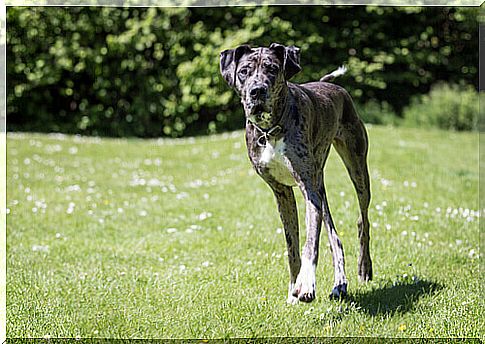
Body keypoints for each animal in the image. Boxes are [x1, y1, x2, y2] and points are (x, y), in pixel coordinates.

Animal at [219, 43, 370, 304]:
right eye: (244, 71)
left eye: (272, 69)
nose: (257, 91)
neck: (270, 130)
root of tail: (333, 86)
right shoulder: (283, 193)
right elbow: (292, 247)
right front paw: (293, 290)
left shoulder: (307, 188)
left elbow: (310, 243)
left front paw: (306, 283)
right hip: (320, 184)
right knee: (335, 236)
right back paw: (339, 284)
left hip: (357, 168)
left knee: (363, 221)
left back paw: (364, 268)